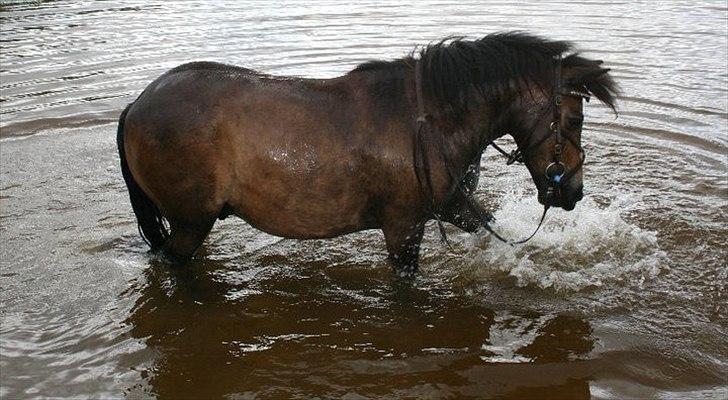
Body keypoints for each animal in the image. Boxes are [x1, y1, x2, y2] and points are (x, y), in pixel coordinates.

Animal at [116, 32, 616, 276]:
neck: (429, 122)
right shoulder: (403, 228)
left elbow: (489, 227)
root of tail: (138, 102)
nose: (572, 189)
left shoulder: (451, 206)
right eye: (575, 120)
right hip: (190, 221)